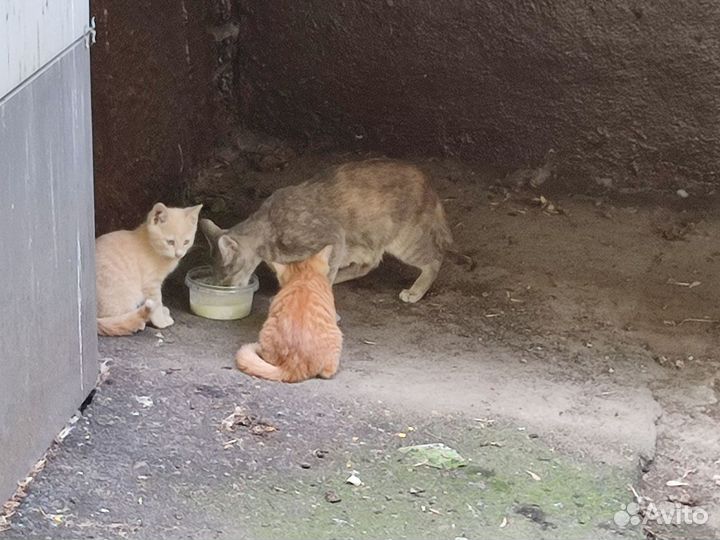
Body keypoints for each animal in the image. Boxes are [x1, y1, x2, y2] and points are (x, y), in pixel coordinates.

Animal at [95, 204, 202, 336]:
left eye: (186, 242)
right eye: (170, 242)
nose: (179, 254)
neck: (150, 245)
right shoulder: (151, 284)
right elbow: (157, 302)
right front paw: (160, 321)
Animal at [200, 159, 450, 304]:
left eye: (226, 277)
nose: (224, 289)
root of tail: (427, 180)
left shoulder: (334, 238)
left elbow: (324, 275)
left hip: (404, 241)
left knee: (435, 259)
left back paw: (415, 291)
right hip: (363, 243)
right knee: (367, 265)